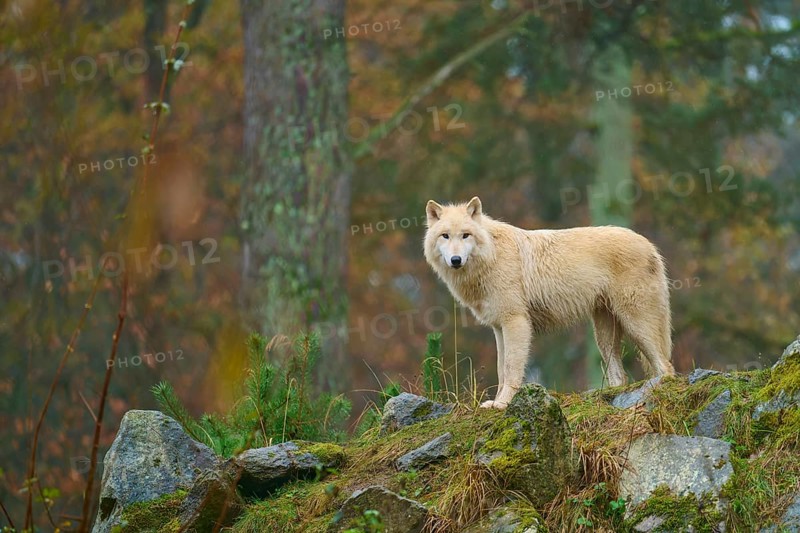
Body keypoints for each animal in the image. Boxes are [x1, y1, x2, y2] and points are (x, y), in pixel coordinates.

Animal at [423, 197, 675, 408]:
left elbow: (511, 369)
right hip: (604, 336)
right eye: (445, 236)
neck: (491, 256)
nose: (456, 260)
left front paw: (503, 404)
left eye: (465, 235)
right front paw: (495, 403)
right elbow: (501, 370)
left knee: (666, 367)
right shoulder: (498, 327)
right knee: (620, 377)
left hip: (636, 325)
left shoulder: (516, 322)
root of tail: (650, 245)